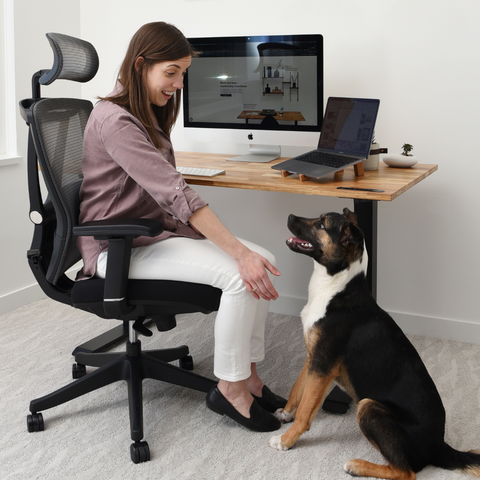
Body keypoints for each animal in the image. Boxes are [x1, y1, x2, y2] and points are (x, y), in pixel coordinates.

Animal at [270, 209, 480, 480]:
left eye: (322, 224)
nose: (289, 216)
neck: (335, 289)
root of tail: (439, 446)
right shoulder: (313, 357)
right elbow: (298, 390)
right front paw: (286, 413)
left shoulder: (323, 365)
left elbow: (306, 410)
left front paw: (285, 440)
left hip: (368, 406)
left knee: (405, 471)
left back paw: (357, 466)